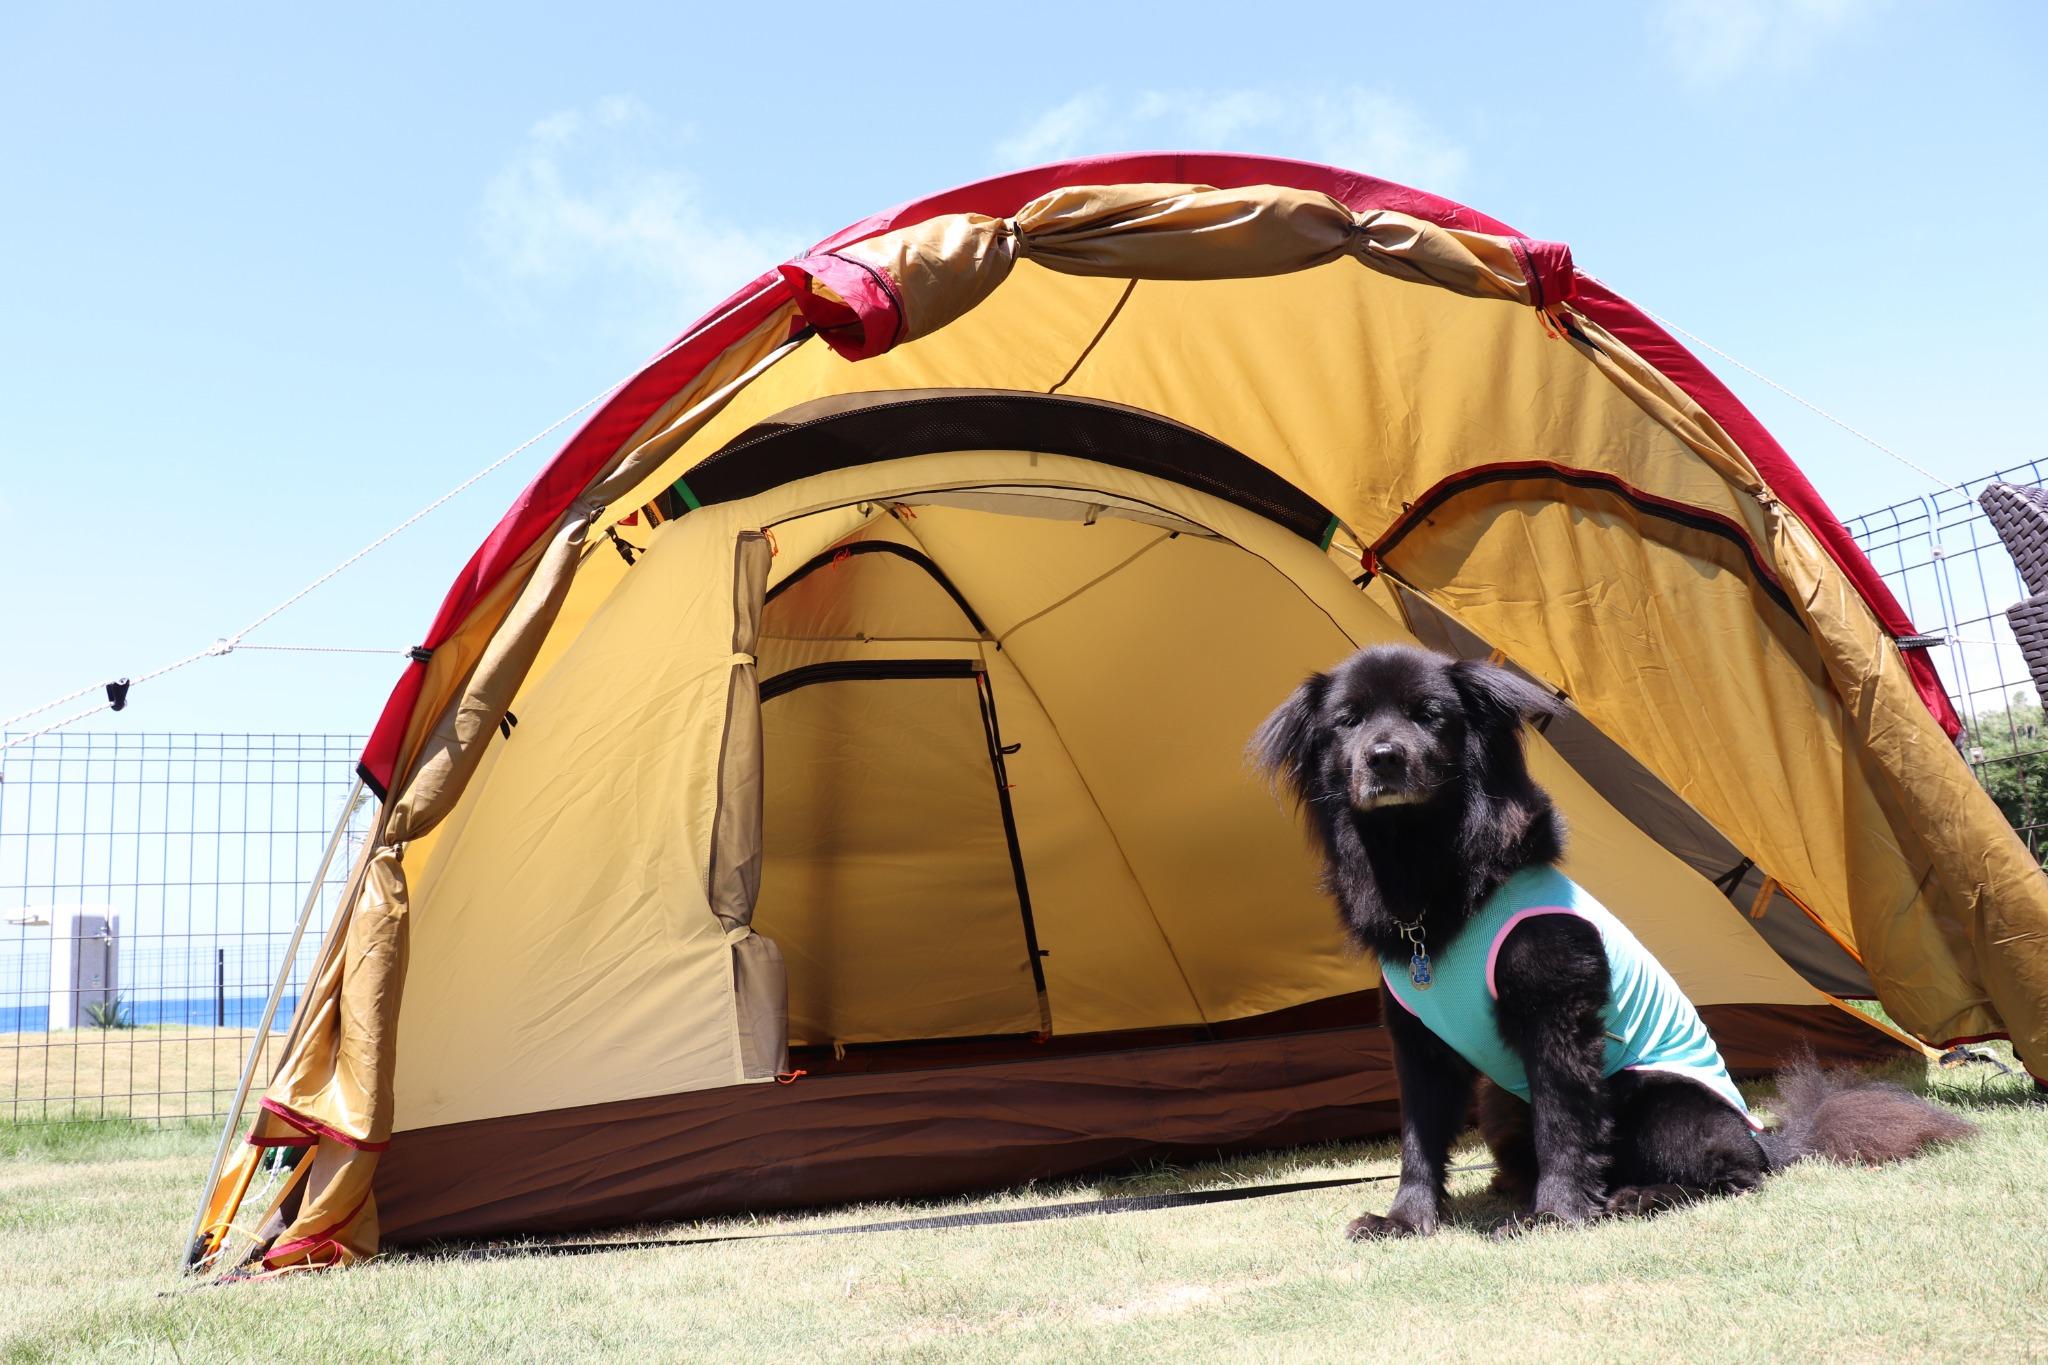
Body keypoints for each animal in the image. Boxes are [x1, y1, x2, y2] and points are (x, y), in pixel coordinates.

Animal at [1253, 642, 1974, 1236]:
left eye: (1429, 715)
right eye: (1348, 722)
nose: (1383, 757)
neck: (1428, 874)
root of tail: (1767, 1137)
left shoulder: (1556, 1017)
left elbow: (1565, 1123)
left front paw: (1556, 1215)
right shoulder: (1418, 1040)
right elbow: (1418, 1137)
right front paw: (1404, 1220)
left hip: (1654, 1094)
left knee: (1730, 1174)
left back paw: (1632, 1196)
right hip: (1501, 1103)